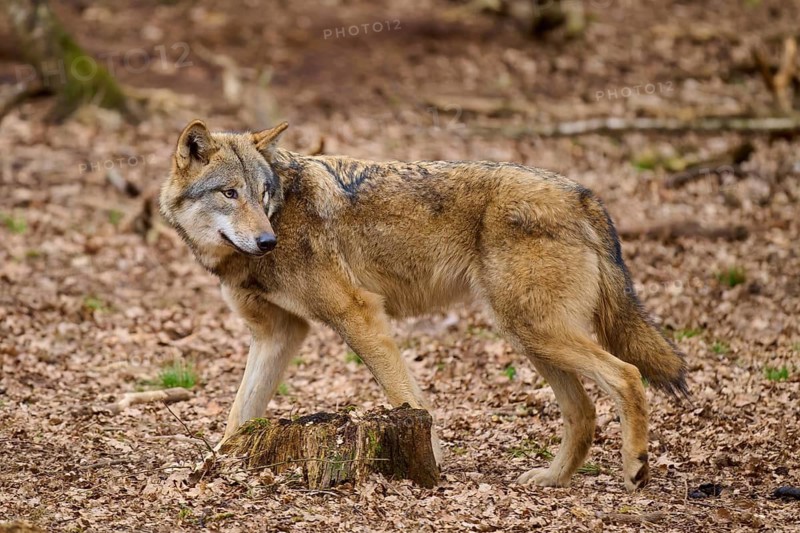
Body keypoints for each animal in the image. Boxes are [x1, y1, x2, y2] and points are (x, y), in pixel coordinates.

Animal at [160, 120, 687, 491]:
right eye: (230, 193)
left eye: (263, 193)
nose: (266, 241)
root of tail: (583, 194)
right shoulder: (279, 334)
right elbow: (238, 417)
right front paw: (211, 469)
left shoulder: (358, 313)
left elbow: (408, 397)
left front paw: (431, 464)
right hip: (528, 336)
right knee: (583, 410)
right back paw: (551, 479)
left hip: (535, 331)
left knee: (627, 375)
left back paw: (636, 470)